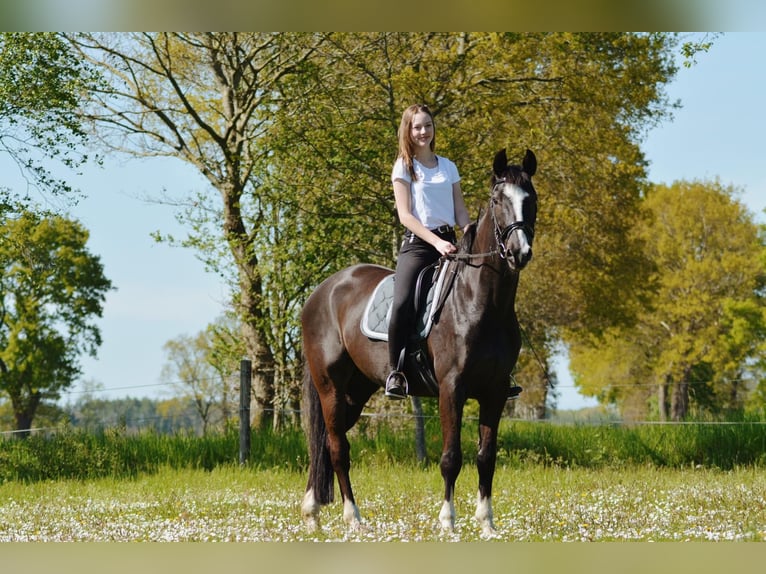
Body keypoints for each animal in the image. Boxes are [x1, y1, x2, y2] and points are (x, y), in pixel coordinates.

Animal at [300, 150, 540, 540]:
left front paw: (486, 523)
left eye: (530, 199)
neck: (480, 302)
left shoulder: (495, 392)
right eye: (497, 200)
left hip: (356, 390)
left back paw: (312, 513)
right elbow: (451, 458)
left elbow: (486, 457)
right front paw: (448, 521)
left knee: (322, 444)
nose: (519, 253)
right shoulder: (451, 388)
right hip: (330, 387)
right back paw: (353, 517)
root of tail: (322, 291)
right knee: (337, 448)